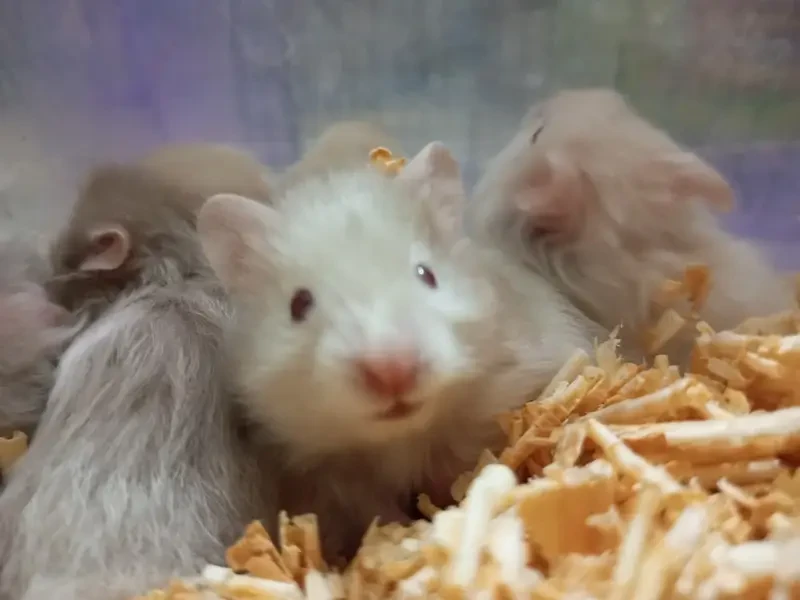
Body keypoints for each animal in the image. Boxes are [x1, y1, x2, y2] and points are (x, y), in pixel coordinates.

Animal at [198, 141, 598, 561]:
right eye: (299, 304)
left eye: (427, 274)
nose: (392, 371)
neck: (402, 438)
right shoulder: (330, 480)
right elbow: (378, 513)